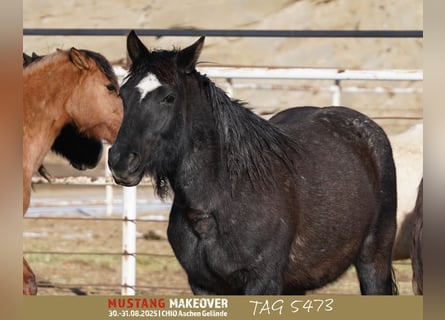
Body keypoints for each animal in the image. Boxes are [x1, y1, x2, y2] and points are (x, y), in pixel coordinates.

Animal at [109, 31, 398, 296]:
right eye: (122, 94)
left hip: (373, 262)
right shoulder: (204, 285)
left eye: (168, 97)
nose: (120, 161)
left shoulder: (263, 283)